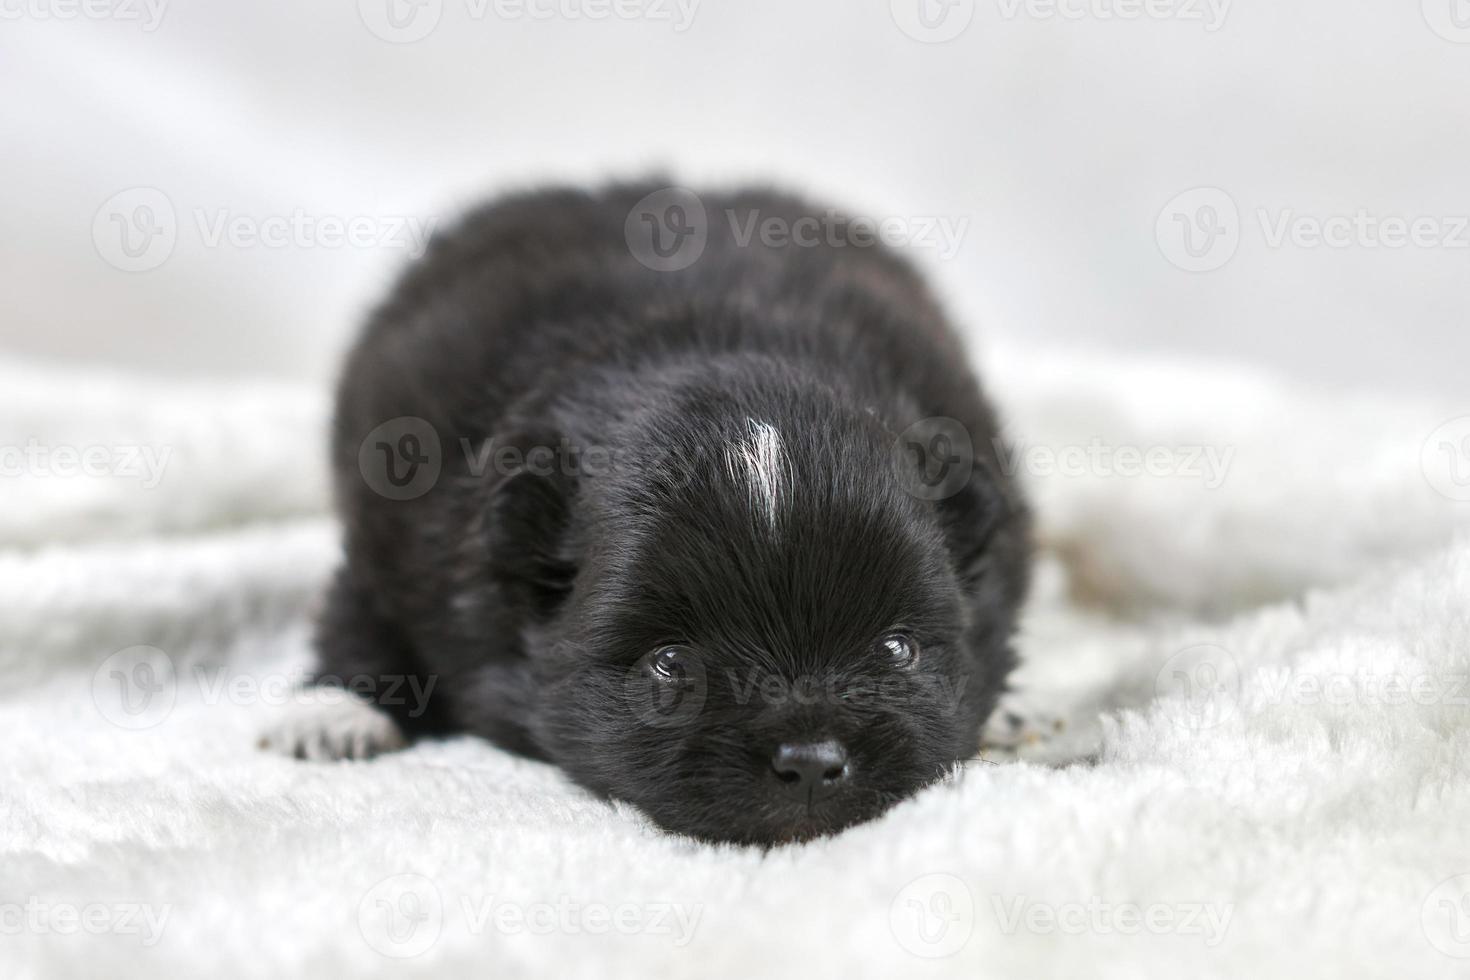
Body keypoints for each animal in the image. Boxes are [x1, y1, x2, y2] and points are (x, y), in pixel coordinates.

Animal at [276, 185, 1034, 852]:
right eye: (670, 664)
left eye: (898, 649)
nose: (812, 761)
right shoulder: (398, 535)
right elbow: (358, 607)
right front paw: (336, 708)